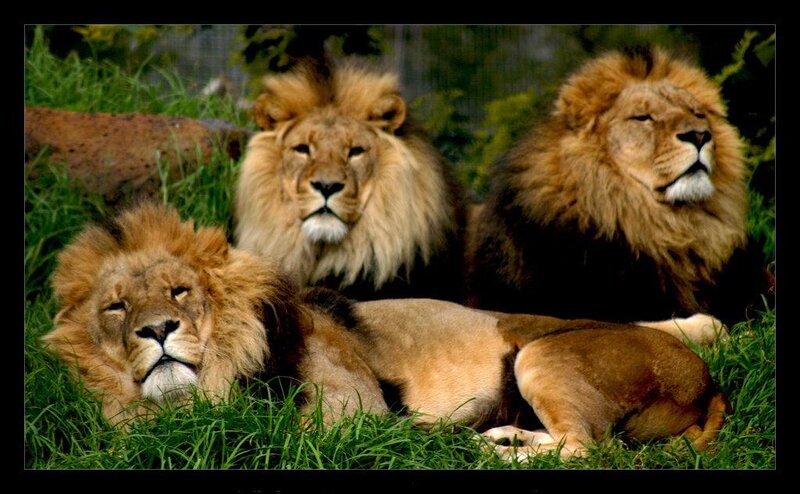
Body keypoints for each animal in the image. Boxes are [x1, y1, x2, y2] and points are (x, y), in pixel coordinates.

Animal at [43, 204, 729, 460]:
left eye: (179, 292)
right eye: (117, 307)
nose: (157, 329)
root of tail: (708, 382)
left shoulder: (355, 410)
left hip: (540, 353)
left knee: (590, 450)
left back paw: (487, 453)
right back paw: (500, 436)